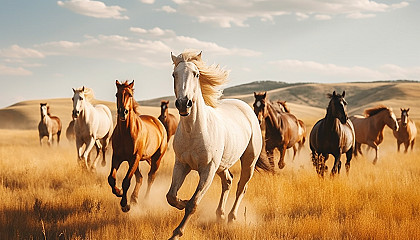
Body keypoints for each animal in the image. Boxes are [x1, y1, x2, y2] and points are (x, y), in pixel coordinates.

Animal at [108, 80, 167, 212]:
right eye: (117, 94)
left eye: (130, 95)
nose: (123, 112)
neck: (126, 132)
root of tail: (159, 123)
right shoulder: (117, 157)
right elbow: (111, 179)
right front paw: (119, 192)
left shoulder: (134, 158)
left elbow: (126, 181)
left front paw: (125, 204)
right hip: (136, 161)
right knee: (140, 178)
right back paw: (134, 199)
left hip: (155, 159)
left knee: (150, 177)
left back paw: (145, 199)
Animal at [167, 50, 262, 238]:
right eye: (174, 74)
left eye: (196, 74)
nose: (184, 103)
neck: (194, 130)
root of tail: (245, 108)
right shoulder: (181, 164)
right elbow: (171, 196)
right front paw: (182, 201)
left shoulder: (207, 169)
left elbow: (193, 203)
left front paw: (176, 233)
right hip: (222, 165)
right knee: (228, 181)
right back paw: (220, 215)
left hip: (249, 162)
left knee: (241, 187)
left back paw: (231, 217)